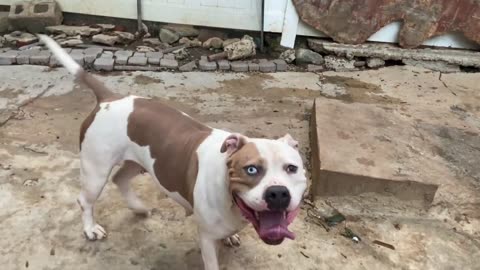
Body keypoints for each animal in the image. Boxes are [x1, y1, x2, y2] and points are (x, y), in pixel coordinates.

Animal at [38, 34, 308, 268]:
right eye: (251, 170)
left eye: (292, 168)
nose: (278, 193)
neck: (229, 191)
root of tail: (109, 99)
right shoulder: (206, 238)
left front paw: (229, 237)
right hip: (96, 170)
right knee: (86, 199)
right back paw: (90, 229)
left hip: (139, 162)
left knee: (120, 178)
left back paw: (138, 207)